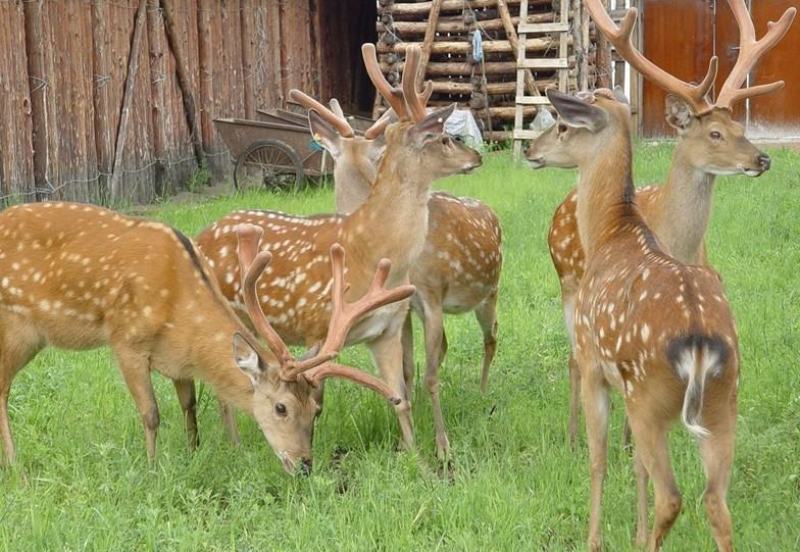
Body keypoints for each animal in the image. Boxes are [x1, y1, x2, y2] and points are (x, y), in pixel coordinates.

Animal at [0, 201, 413, 474]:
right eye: (281, 407)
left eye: (316, 410)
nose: (304, 465)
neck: (179, 309)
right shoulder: (126, 339)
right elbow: (151, 414)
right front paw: (153, 471)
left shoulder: (177, 359)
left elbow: (190, 405)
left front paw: (193, 452)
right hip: (15, 327)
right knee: (2, 389)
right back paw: (17, 468)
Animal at [195, 44, 483, 455]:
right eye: (443, 138)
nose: (477, 157)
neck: (372, 248)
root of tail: (200, 235)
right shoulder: (320, 325)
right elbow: (316, 397)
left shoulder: (387, 329)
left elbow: (400, 397)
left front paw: (415, 456)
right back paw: (233, 445)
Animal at [287, 77, 502, 461]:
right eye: (444, 138)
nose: (477, 156)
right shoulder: (402, 310)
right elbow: (406, 370)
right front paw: (407, 437)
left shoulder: (429, 297)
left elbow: (427, 374)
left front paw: (442, 446)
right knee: (449, 346)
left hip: (489, 292)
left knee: (491, 337)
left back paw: (482, 393)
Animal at [528, 87, 742, 551]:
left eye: (563, 125)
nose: (531, 150)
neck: (611, 231)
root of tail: (700, 343)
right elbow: (635, 464)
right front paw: (634, 528)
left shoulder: (595, 364)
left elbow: (599, 460)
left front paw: (595, 539)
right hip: (724, 400)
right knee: (717, 504)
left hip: (650, 395)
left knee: (673, 497)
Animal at [550, 0, 795, 447]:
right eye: (714, 133)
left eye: (740, 127)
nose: (762, 159)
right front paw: (620, 441)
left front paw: (627, 442)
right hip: (568, 282)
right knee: (573, 360)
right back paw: (574, 435)